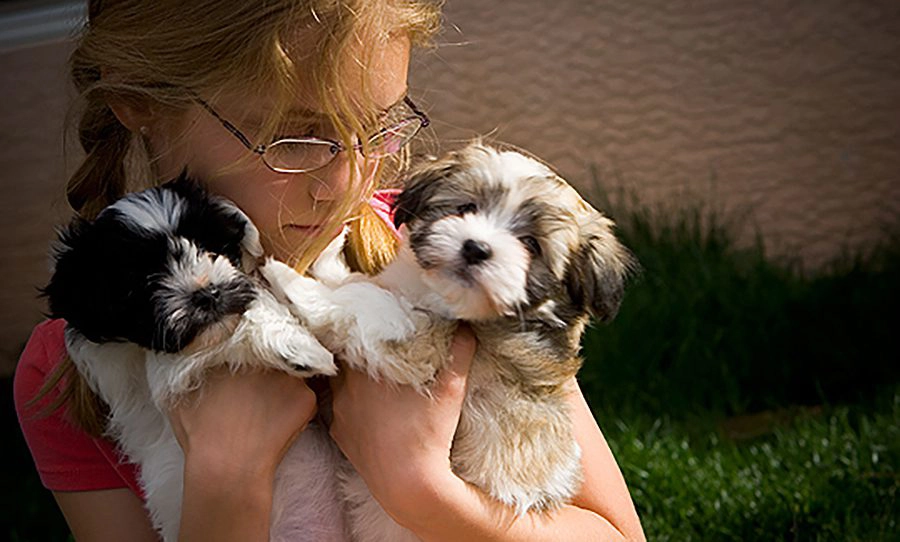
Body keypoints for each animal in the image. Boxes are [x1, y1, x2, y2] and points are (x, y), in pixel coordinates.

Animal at [47, 175, 346, 542]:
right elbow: (238, 325)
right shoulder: (165, 369)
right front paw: (297, 347)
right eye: (144, 282)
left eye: (211, 250)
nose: (207, 293)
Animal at [264, 141, 636, 542]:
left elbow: (362, 299)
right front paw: (328, 254)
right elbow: (357, 283)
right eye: (466, 207)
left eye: (530, 244)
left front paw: (289, 279)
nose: (476, 248)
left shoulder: (420, 345)